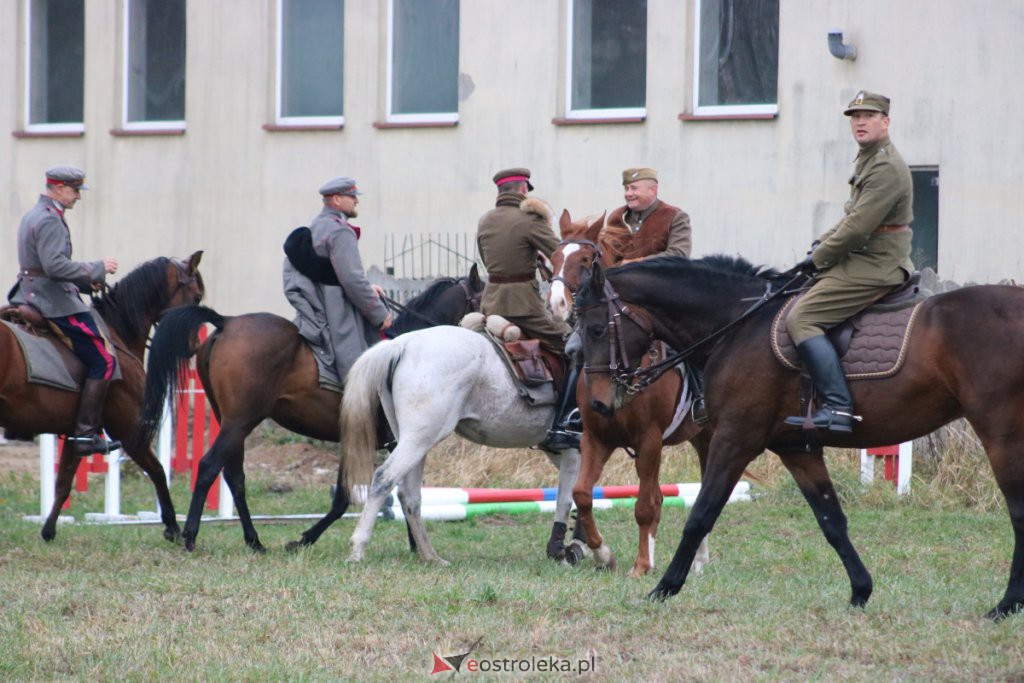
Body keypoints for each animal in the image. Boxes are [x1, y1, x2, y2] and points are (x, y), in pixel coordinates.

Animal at [0, 252, 205, 544]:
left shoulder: (76, 435)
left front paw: (48, 531)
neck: (117, 333)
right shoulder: (129, 431)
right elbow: (158, 471)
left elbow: (63, 483)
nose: (193, 346)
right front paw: (172, 528)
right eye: (196, 297)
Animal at [135, 264, 483, 552]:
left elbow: (351, 495)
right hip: (240, 421)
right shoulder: (397, 440)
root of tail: (227, 322)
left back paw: (254, 541)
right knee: (209, 467)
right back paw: (190, 536)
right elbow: (375, 492)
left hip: (232, 422)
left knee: (235, 476)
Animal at [327, 325, 585, 565]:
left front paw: (576, 546)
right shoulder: (576, 451)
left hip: (415, 442)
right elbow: (568, 499)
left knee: (409, 495)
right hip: (417, 439)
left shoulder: (563, 453)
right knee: (384, 478)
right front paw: (566, 551)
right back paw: (358, 550)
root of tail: (403, 343)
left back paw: (430, 556)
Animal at [548, 209, 708, 577]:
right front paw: (602, 553)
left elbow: (645, 505)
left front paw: (641, 564)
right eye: (553, 258)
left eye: (585, 260)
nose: (557, 304)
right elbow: (582, 494)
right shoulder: (596, 438)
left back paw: (698, 559)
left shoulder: (649, 440)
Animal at [573, 255, 1024, 618]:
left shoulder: (734, 441)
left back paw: (1006, 605)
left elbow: (700, 515)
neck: (737, 328)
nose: (598, 405)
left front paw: (664, 588)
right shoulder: (796, 449)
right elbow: (831, 521)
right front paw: (860, 591)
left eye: (595, 329)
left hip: (1001, 435)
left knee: (1018, 512)